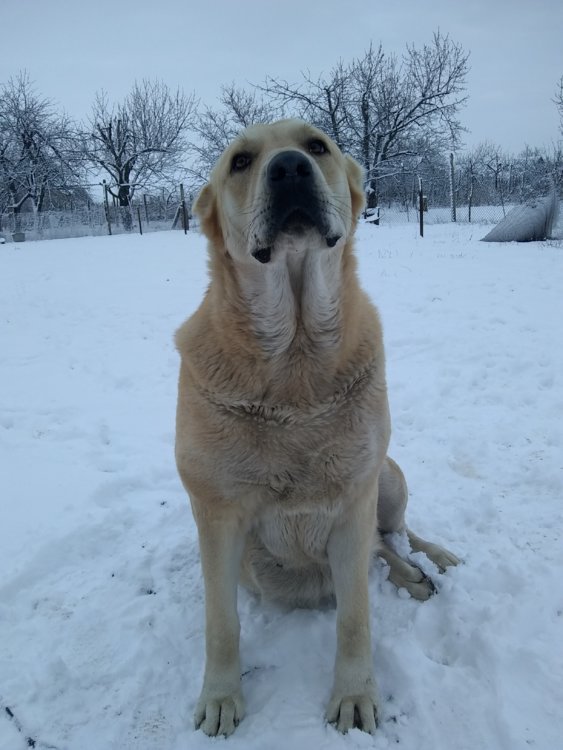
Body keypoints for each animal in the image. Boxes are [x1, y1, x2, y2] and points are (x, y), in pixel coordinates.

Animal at [174, 120, 460, 736]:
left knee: (397, 535)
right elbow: (221, 624)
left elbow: (356, 617)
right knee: (385, 549)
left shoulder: (354, 499)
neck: (294, 356)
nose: (288, 169)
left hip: (388, 477)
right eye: (240, 162)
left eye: (317, 147)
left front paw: (353, 695)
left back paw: (431, 561)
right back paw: (414, 575)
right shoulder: (216, 515)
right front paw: (222, 697)